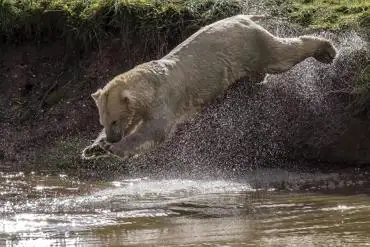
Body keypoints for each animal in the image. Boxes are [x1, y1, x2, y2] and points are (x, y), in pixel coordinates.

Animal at [82, 14, 336, 160]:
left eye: (114, 121)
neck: (150, 81)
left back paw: (327, 50)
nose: (112, 138)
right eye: (103, 122)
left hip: (249, 45)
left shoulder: (163, 99)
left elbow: (155, 130)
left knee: (281, 54)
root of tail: (243, 17)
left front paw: (115, 150)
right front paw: (93, 148)